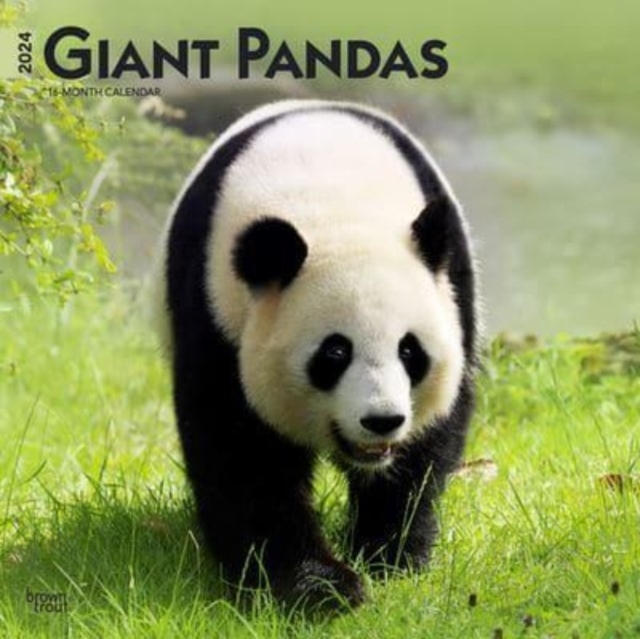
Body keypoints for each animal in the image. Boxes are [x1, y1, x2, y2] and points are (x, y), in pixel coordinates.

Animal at [155, 99, 479, 612]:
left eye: (410, 350)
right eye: (334, 353)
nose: (382, 420)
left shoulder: (452, 294)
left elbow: (425, 448)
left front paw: (389, 555)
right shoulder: (215, 310)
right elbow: (242, 455)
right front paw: (318, 586)